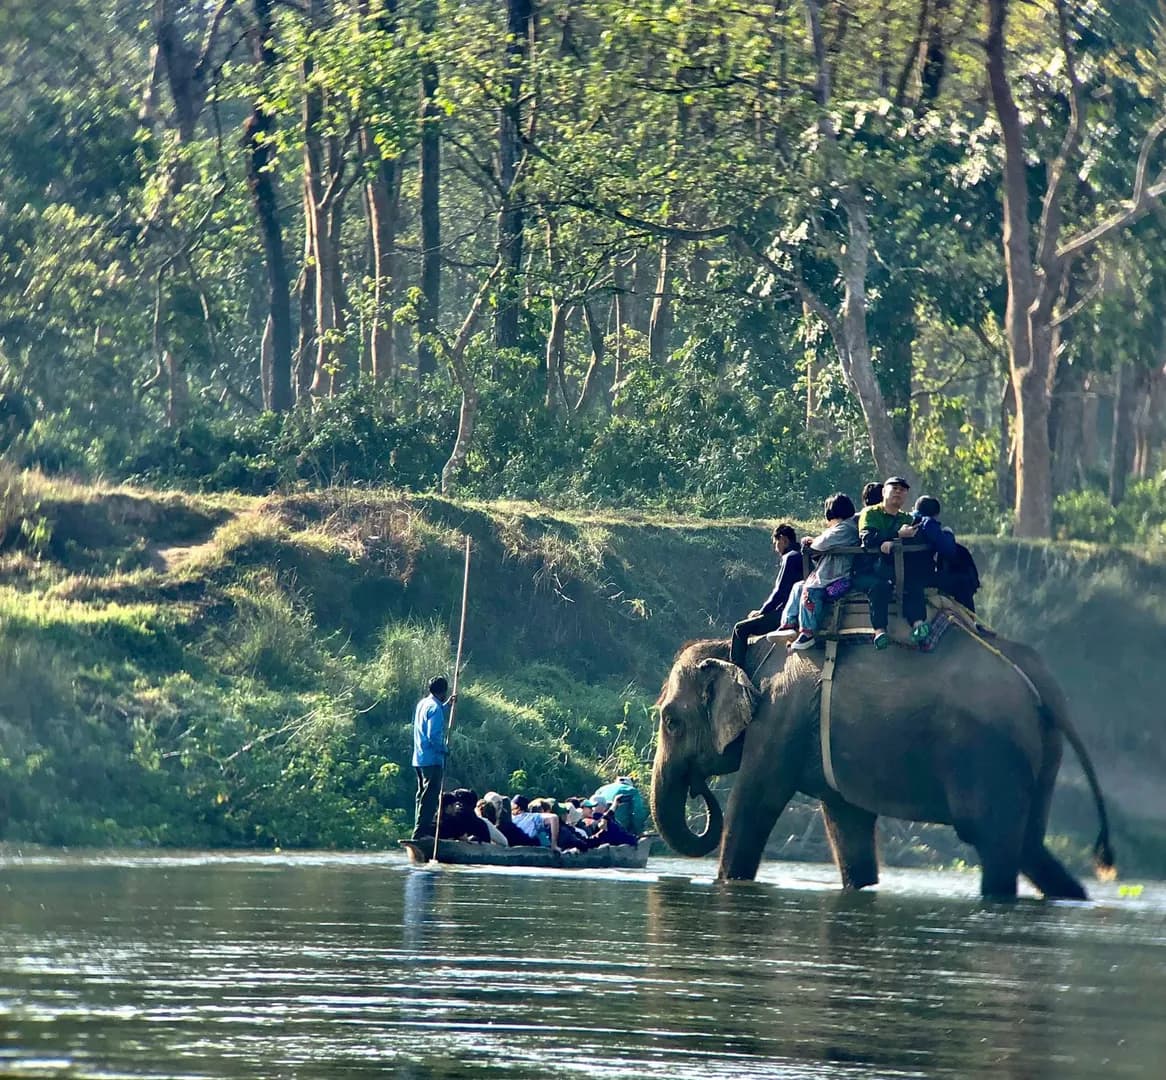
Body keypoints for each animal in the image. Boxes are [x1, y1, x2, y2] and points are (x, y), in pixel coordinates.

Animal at [650, 632, 1114, 899]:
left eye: (671, 721)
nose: (698, 788)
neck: (744, 649)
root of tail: (1045, 685)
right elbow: (848, 822)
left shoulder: (779, 720)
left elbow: (754, 805)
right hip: (1042, 754)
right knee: (1030, 846)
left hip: (990, 755)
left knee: (997, 845)